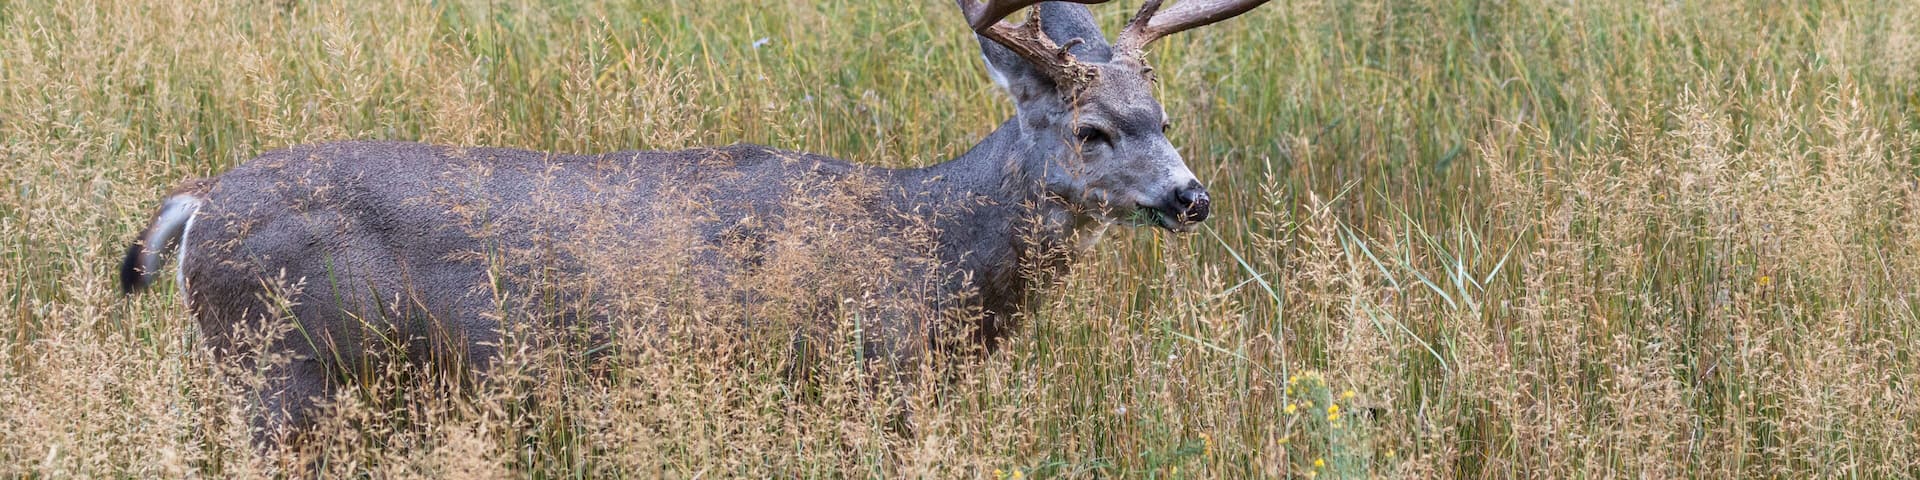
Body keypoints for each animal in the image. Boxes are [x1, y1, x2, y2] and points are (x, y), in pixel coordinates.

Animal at [117, 0, 1272, 445]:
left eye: (1164, 116)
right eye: (1091, 130)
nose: (1191, 197)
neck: (929, 243)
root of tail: (198, 205)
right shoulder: (856, 373)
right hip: (279, 371)